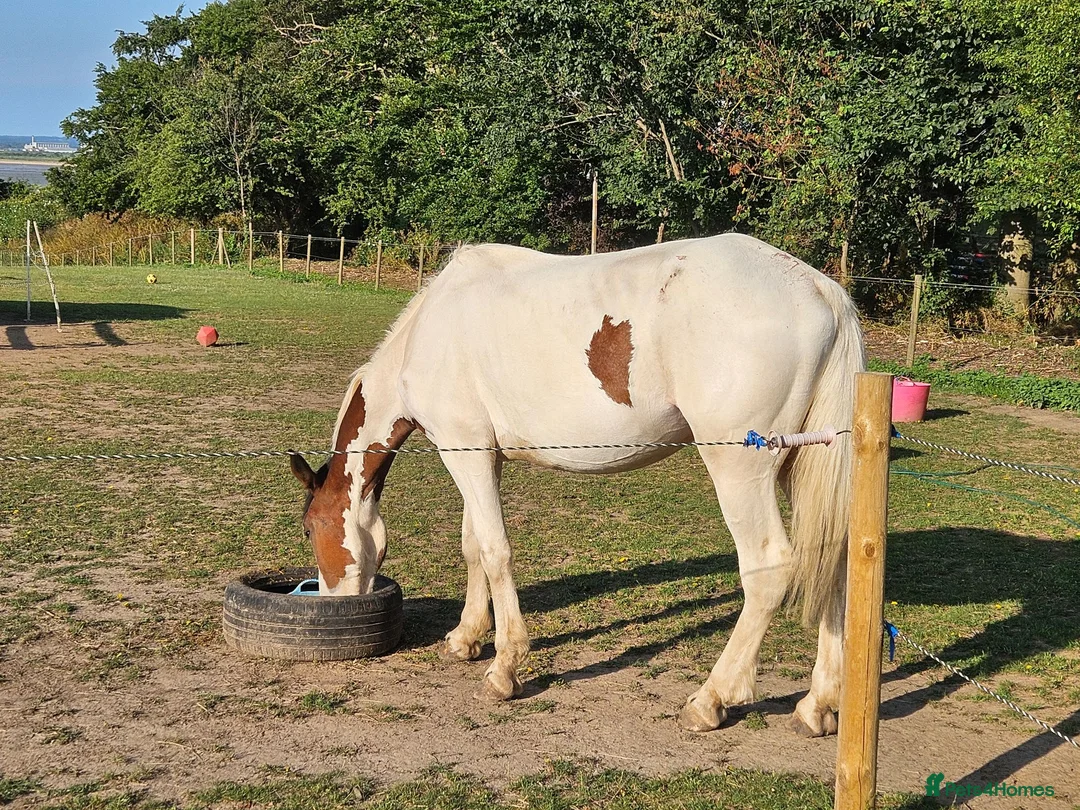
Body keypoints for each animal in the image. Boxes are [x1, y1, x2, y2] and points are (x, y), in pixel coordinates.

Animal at [289, 233, 865, 737]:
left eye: (313, 528)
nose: (332, 600)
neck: (428, 332)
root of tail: (822, 290)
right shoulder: (481, 456)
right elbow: (474, 545)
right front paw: (467, 638)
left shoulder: (463, 450)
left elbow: (495, 551)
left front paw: (504, 669)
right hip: (801, 465)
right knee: (835, 562)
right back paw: (818, 705)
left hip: (740, 470)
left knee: (770, 568)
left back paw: (711, 699)